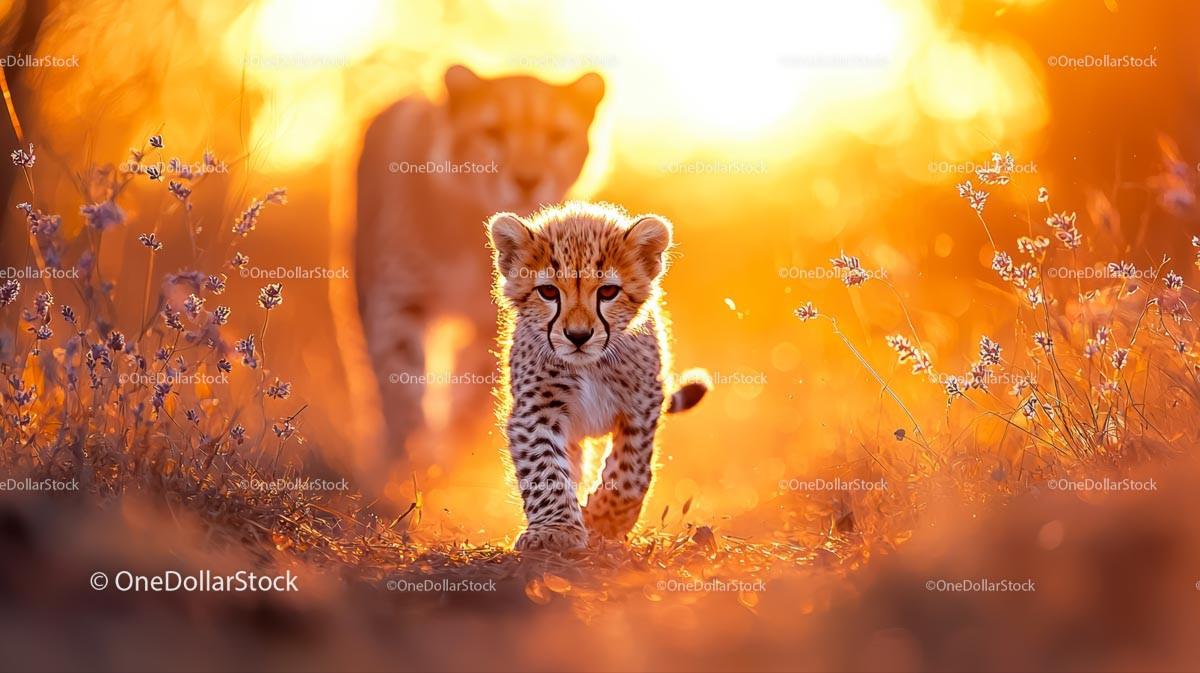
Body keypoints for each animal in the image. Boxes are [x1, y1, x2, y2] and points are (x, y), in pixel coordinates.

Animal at [487, 202, 708, 552]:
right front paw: (556, 530)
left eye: (608, 292)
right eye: (548, 291)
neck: (589, 365)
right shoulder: (536, 412)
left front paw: (603, 519)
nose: (578, 336)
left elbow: (631, 471)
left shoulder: (642, 406)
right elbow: (545, 470)